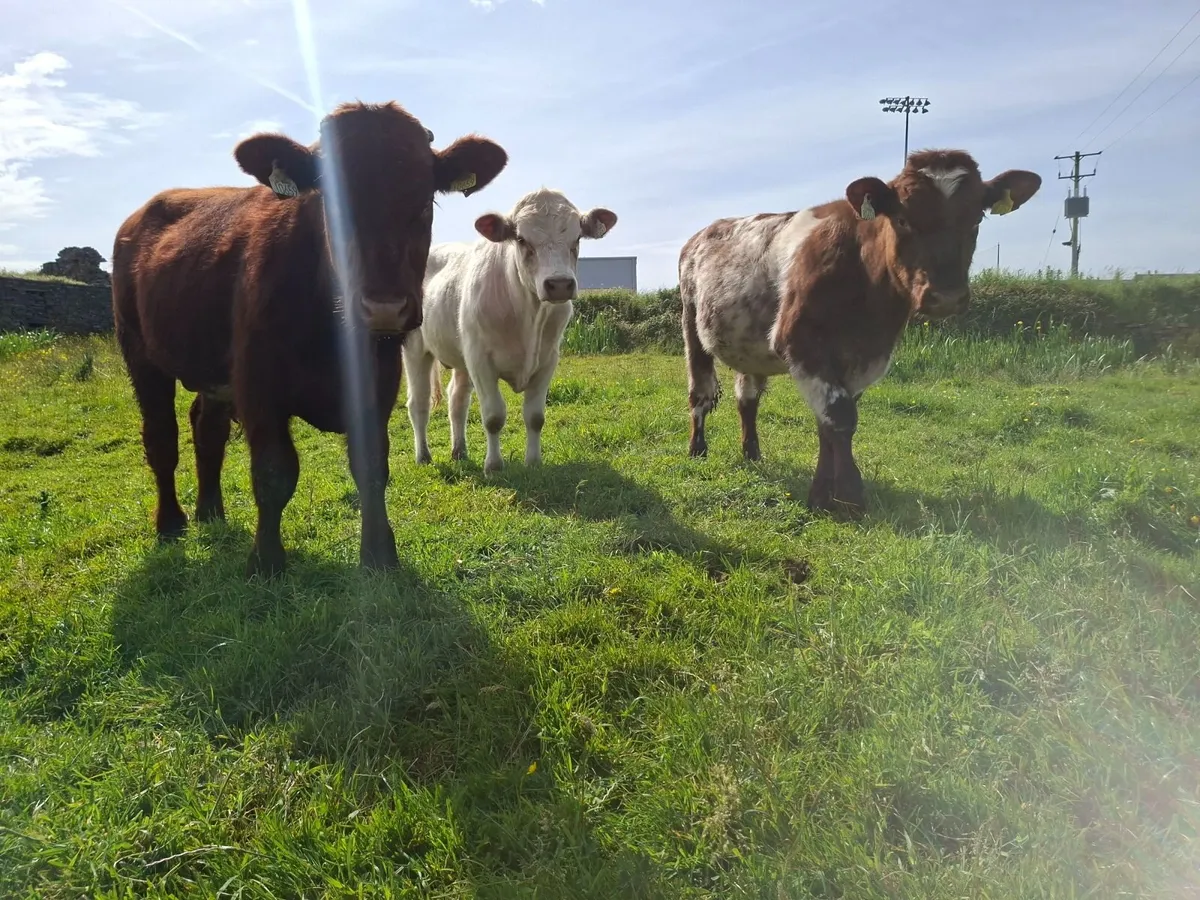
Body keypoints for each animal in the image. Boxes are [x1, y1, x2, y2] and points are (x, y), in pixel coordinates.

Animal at [111, 101, 508, 578]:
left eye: (423, 198)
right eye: (328, 200)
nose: (384, 307)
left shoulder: (378, 382)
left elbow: (371, 466)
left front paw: (380, 555)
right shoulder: (258, 384)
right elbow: (273, 472)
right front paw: (266, 560)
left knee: (207, 430)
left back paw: (211, 512)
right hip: (140, 352)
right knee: (161, 437)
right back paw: (171, 522)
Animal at [402, 188, 617, 473]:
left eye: (578, 237)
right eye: (521, 239)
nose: (560, 284)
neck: (528, 317)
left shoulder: (547, 360)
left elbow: (535, 417)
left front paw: (534, 462)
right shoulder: (481, 361)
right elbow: (493, 416)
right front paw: (493, 466)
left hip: (461, 356)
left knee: (457, 400)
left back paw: (459, 451)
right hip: (415, 349)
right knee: (419, 403)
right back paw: (423, 456)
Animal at [679, 149, 1041, 515]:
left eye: (977, 218)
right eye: (902, 219)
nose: (946, 296)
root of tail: (703, 233)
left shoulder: (865, 357)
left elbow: (830, 422)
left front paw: (826, 493)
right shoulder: (799, 343)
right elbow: (839, 416)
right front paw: (850, 496)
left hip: (750, 347)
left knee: (747, 399)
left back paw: (752, 453)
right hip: (691, 324)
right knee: (700, 393)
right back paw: (697, 449)